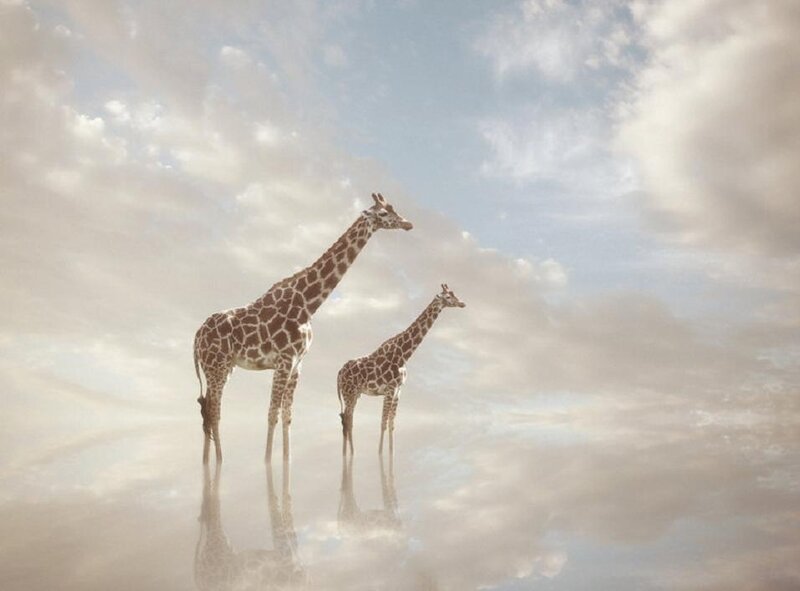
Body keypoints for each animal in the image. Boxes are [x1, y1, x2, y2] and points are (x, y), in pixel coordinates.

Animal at [194, 193, 413, 463]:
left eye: (394, 209)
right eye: (383, 214)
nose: (407, 224)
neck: (308, 303)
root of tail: (196, 336)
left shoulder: (297, 364)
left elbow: (287, 415)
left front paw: (286, 462)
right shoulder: (284, 360)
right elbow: (272, 413)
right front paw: (267, 461)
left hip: (223, 367)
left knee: (209, 407)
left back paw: (209, 461)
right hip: (217, 365)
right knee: (212, 409)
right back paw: (217, 461)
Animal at [337, 284, 465, 456]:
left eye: (454, 294)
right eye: (448, 297)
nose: (462, 303)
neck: (404, 355)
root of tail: (339, 372)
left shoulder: (398, 390)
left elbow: (392, 424)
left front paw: (391, 454)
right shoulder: (389, 389)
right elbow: (383, 423)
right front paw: (380, 454)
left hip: (355, 394)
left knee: (348, 418)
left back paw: (349, 453)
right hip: (349, 392)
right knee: (347, 419)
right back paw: (349, 454)